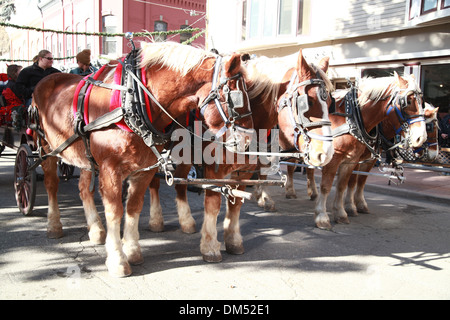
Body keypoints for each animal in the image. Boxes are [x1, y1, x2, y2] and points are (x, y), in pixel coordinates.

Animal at [32, 42, 253, 278]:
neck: (133, 101)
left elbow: (133, 207)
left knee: (84, 189)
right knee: (51, 184)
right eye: (237, 99)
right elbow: (115, 211)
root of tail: (48, 78)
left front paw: (132, 250)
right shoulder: (110, 168)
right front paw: (118, 260)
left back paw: (96, 229)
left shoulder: (144, 168)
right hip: (46, 149)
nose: (248, 142)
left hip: (85, 158)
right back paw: (54, 225)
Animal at [148, 48, 334, 262]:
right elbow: (213, 203)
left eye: (330, 101)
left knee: (179, 185)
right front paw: (210, 247)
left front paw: (233, 241)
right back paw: (156, 220)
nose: (326, 153)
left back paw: (186, 222)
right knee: (154, 182)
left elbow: (236, 204)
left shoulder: (243, 171)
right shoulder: (215, 172)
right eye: (306, 102)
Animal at [298, 72, 426, 229]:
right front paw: (326, 215)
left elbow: (353, 182)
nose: (421, 138)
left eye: (422, 102)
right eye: (407, 101)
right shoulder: (336, 158)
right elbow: (330, 185)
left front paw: (352, 207)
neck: (352, 118)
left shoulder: (358, 159)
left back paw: (309, 193)